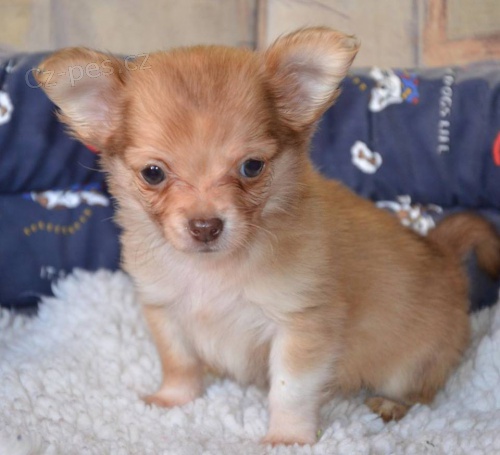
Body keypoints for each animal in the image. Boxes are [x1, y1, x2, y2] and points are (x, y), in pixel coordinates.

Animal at [35, 28, 500, 446]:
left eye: (252, 167)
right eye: (153, 173)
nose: (205, 226)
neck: (212, 272)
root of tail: (441, 249)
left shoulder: (300, 327)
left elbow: (289, 390)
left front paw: (287, 438)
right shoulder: (165, 312)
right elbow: (179, 363)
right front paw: (173, 399)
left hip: (411, 364)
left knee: (422, 392)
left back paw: (390, 404)